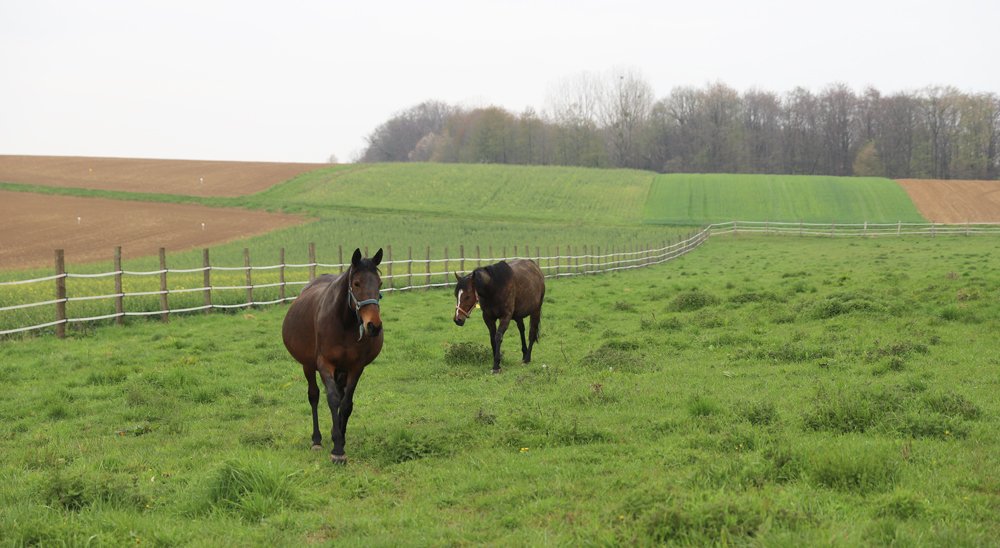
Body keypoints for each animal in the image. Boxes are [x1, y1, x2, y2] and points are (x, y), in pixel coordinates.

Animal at [282, 248, 384, 463]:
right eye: (357, 283)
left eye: (379, 283)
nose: (374, 326)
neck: (343, 323)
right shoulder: (324, 364)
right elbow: (332, 399)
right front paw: (337, 450)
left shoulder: (356, 367)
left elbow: (346, 404)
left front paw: (340, 441)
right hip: (308, 366)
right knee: (314, 396)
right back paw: (317, 440)